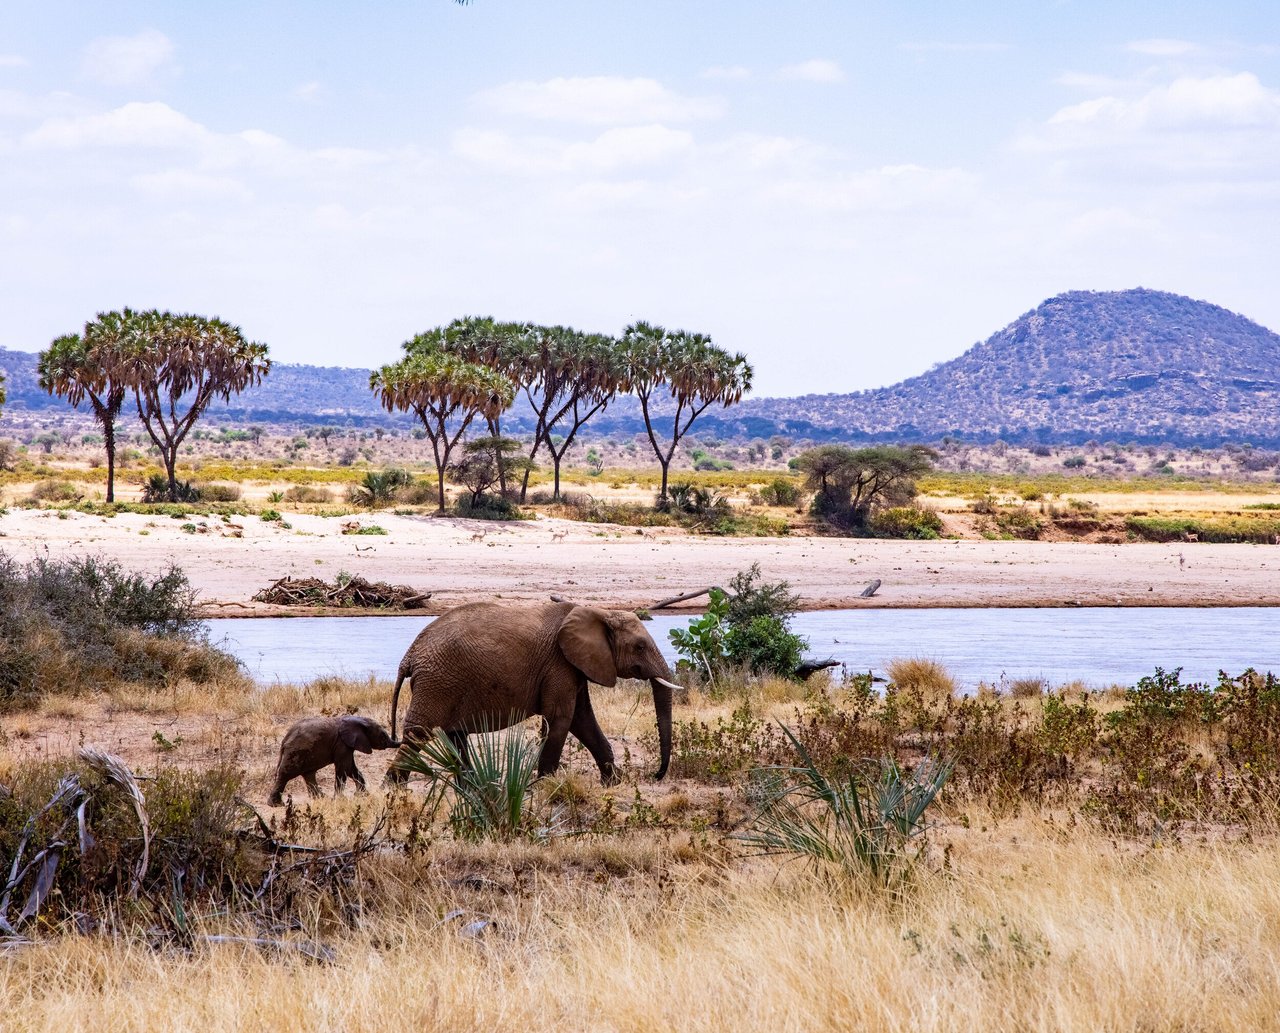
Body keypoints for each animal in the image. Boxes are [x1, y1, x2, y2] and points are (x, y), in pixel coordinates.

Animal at [268, 714, 400, 806]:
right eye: (383, 735)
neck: (356, 719)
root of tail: (284, 740)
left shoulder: (346, 745)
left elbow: (351, 769)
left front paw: (363, 796)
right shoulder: (342, 744)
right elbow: (344, 769)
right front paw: (339, 799)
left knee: (308, 774)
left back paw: (321, 798)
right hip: (295, 752)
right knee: (285, 775)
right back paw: (276, 804)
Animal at [387, 601, 682, 785]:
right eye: (640, 647)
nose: (656, 775)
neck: (600, 612)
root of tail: (410, 655)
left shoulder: (574, 666)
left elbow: (582, 720)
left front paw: (612, 784)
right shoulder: (559, 663)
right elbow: (562, 718)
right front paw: (545, 786)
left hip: (444, 682)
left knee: (454, 735)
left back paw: (470, 787)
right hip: (437, 682)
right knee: (418, 732)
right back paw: (393, 786)